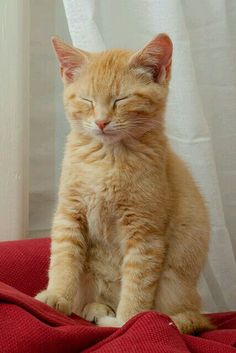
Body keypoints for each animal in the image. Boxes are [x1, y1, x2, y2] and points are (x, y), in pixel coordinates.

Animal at [35, 33, 214, 332]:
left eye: (121, 99)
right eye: (87, 100)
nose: (101, 122)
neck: (108, 158)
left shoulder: (145, 233)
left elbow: (137, 284)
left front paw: (129, 321)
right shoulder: (70, 213)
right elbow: (63, 258)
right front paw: (57, 295)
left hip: (174, 287)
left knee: (178, 314)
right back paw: (94, 307)